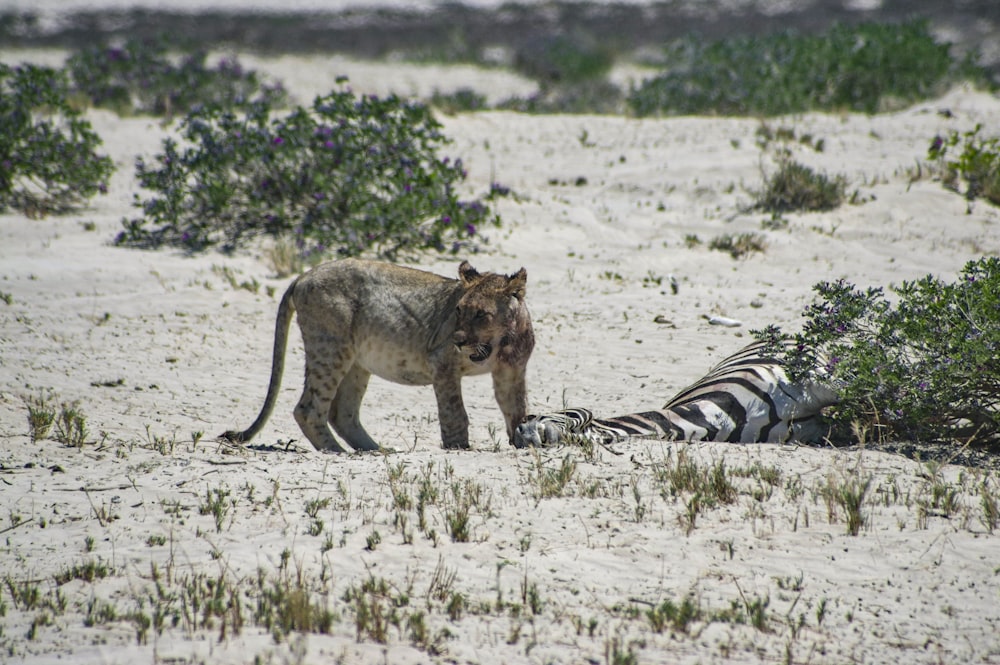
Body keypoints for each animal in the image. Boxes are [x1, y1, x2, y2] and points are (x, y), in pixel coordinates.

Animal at [219, 260, 532, 452]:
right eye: (458, 310)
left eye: (481, 314)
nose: (456, 340)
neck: (500, 344)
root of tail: (303, 275)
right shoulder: (441, 363)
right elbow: (455, 413)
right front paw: (459, 447)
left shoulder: (512, 372)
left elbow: (515, 409)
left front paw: (523, 439)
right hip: (330, 347)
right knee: (308, 408)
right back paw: (337, 452)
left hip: (357, 363)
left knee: (342, 413)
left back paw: (376, 451)